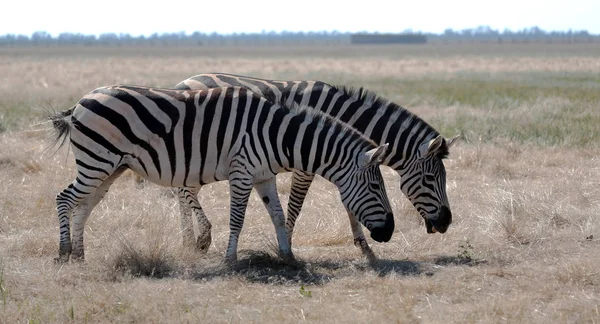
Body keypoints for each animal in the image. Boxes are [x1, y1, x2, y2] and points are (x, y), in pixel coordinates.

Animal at [49, 85, 396, 264]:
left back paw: (79, 254)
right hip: (97, 160)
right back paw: (63, 252)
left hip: (110, 168)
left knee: (84, 206)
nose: (389, 233)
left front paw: (288, 257)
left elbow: (277, 215)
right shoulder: (241, 172)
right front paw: (230, 260)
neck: (276, 135)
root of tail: (81, 101)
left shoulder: (263, 176)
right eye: (375, 186)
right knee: (64, 198)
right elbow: (237, 218)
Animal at [171, 73, 458, 260]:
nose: (446, 222)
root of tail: (182, 82)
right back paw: (201, 238)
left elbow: (350, 203)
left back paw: (188, 240)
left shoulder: (347, 162)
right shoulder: (309, 163)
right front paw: (285, 244)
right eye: (430, 179)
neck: (342, 115)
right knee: (184, 191)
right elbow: (296, 206)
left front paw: (364, 246)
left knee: (184, 192)